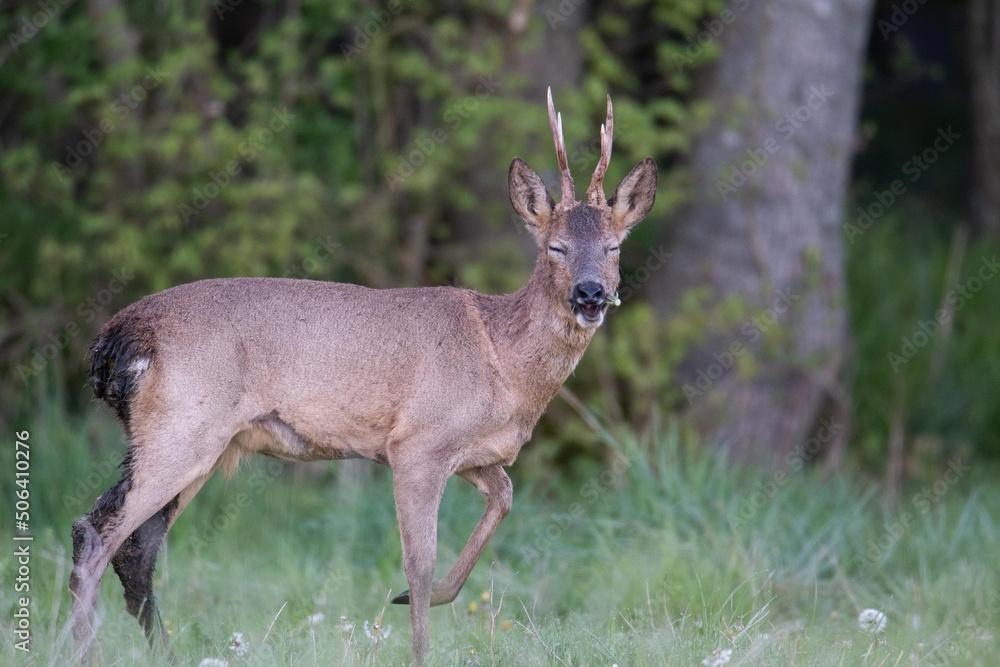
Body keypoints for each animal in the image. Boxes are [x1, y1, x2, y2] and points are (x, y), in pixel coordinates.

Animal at [74, 87, 660, 664]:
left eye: (614, 246)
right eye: (555, 247)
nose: (590, 293)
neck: (504, 362)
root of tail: (118, 336)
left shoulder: (471, 452)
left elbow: (506, 496)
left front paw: (428, 597)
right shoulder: (417, 442)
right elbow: (418, 563)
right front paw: (419, 643)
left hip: (197, 441)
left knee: (135, 548)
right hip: (183, 425)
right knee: (97, 532)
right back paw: (78, 646)